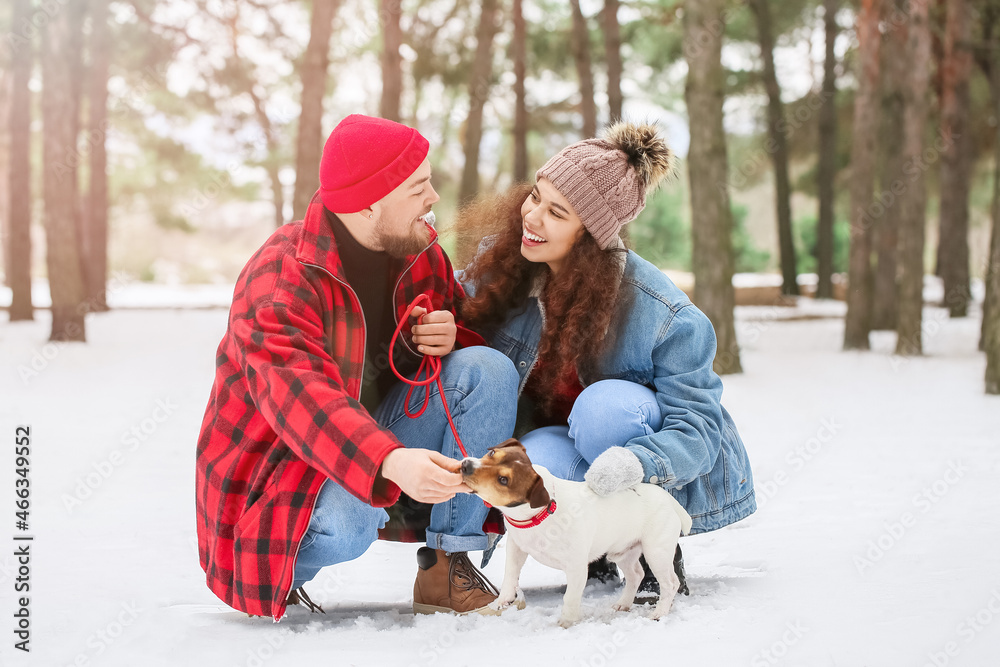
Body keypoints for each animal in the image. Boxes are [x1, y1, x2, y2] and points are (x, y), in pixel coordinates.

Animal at [458, 438, 688, 628]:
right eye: (492, 453)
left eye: (503, 480)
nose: (466, 465)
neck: (541, 515)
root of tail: (670, 501)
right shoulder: (517, 547)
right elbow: (510, 574)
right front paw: (503, 599)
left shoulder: (576, 567)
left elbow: (570, 597)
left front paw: (566, 622)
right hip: (624, 552)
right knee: (636, 575)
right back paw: (623, 603)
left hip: (656, 551)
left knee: (670, 583)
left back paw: (659, 613)